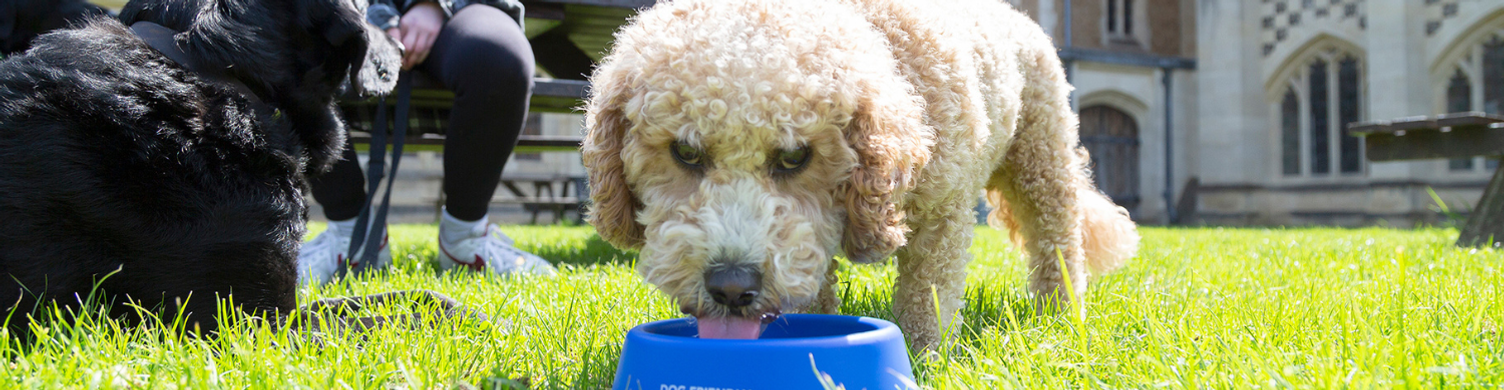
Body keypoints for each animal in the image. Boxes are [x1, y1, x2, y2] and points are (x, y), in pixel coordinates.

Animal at [580, 0, 1131, 352]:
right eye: (686, 151)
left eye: (794, 156)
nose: (732, 287)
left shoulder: (942, 212)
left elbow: (926, 295)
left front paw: (923, 358)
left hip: (1042, 156)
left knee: (1057, 239)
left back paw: (1060, 311)